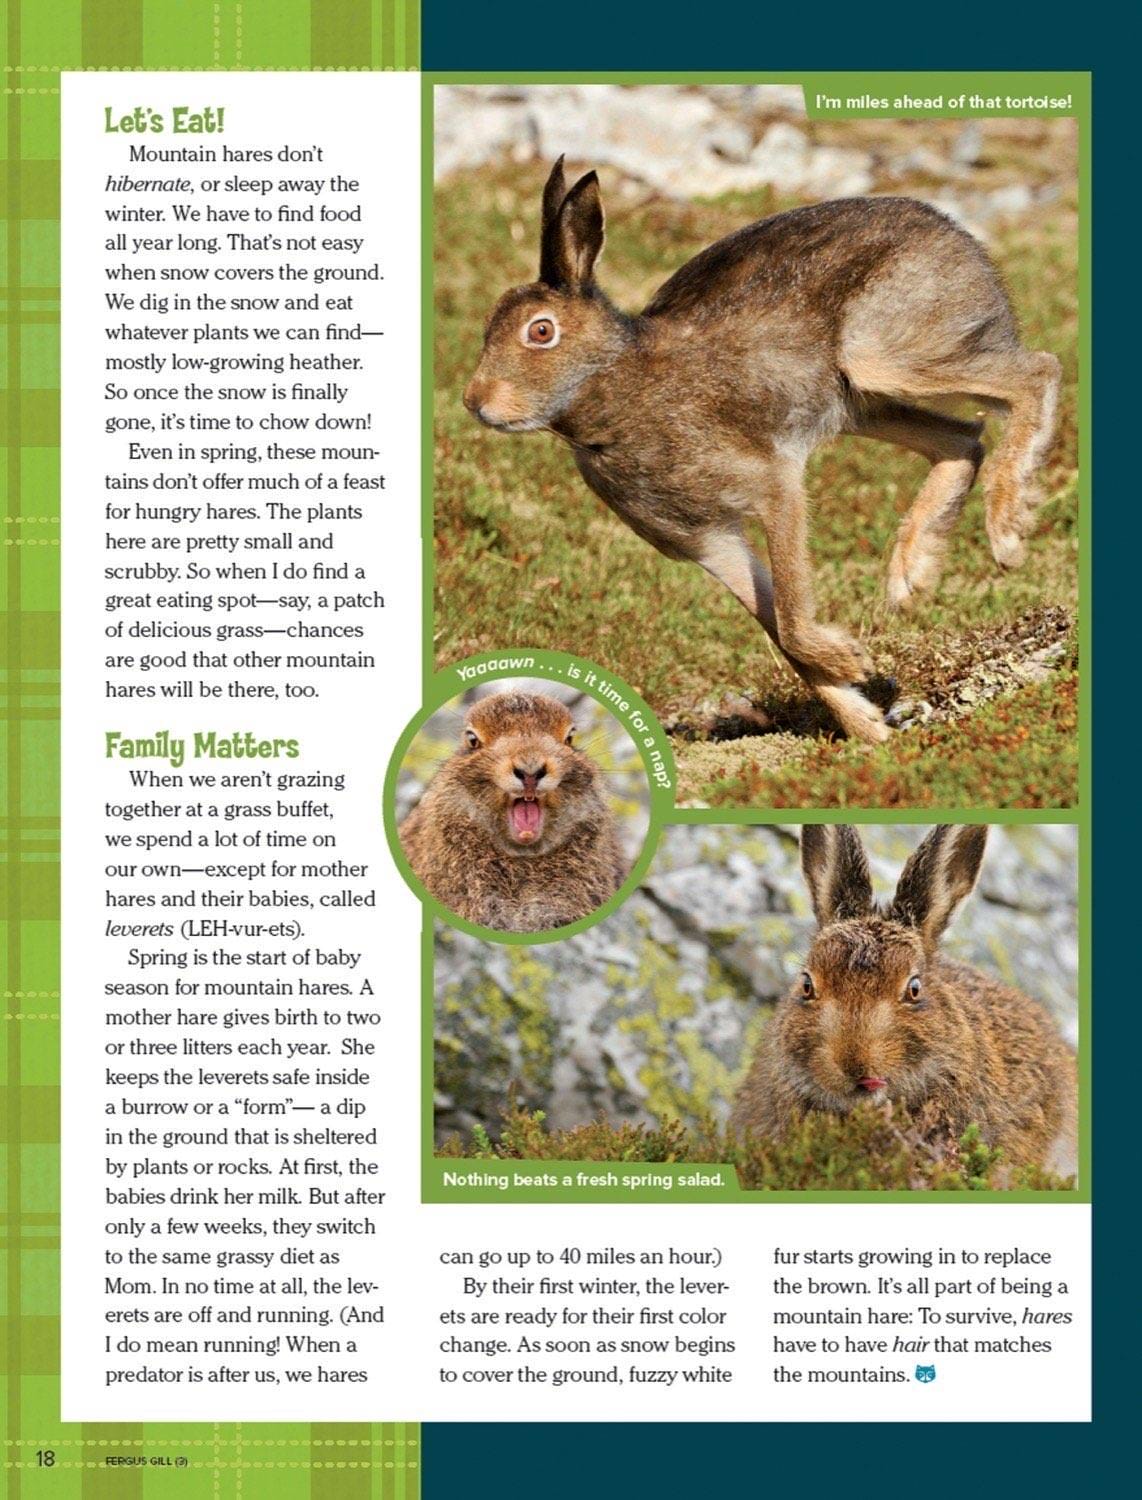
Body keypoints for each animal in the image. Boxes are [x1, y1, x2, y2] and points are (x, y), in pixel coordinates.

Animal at [463, 159, 1061, 743]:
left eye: (541, 332)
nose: (475, 402)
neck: (611, 388)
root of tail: (961, 239)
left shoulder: (774, 486)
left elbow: (792, 617)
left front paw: (853, 665)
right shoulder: (708, 541)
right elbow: (776, 630)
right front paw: (866, 725)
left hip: (887, 355)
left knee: (1037, 372)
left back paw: (1007, 530)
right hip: (859, 400)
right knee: (962, 437)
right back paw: (912, 574)